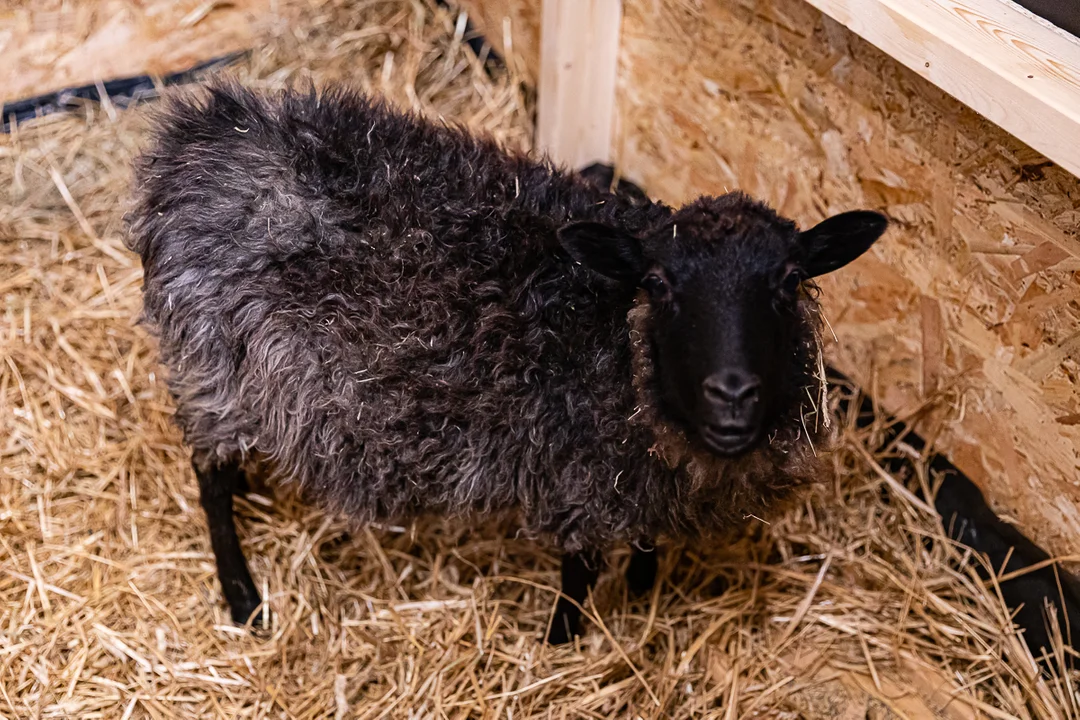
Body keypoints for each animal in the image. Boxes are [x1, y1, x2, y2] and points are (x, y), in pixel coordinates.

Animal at [126, 83, 885, 643]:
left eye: (789, 281)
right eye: (659, 284)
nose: (732, 394)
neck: (612, 342)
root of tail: (193, 142)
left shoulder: (630, 478)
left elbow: (641, 538)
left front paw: (643, 587)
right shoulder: (574, 475)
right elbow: (578, 571)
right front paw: (564, 641)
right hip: (214, 365)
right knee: (209, 478)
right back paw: (243, 598)